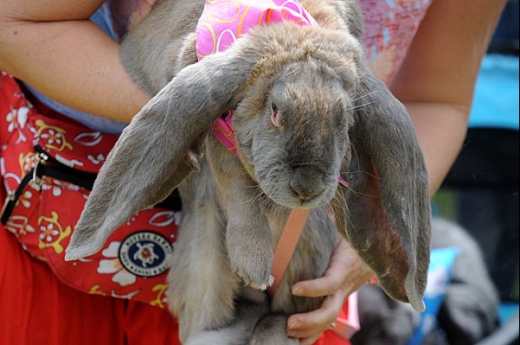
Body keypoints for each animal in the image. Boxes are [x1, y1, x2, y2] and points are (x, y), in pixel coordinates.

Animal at [65, 0, 430, 342]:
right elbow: (232, 174)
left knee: (280, 314)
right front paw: (253, 262)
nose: (307, 188)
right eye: (276, 111)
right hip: (204, 257)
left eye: (344, 121)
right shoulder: (217, 127)